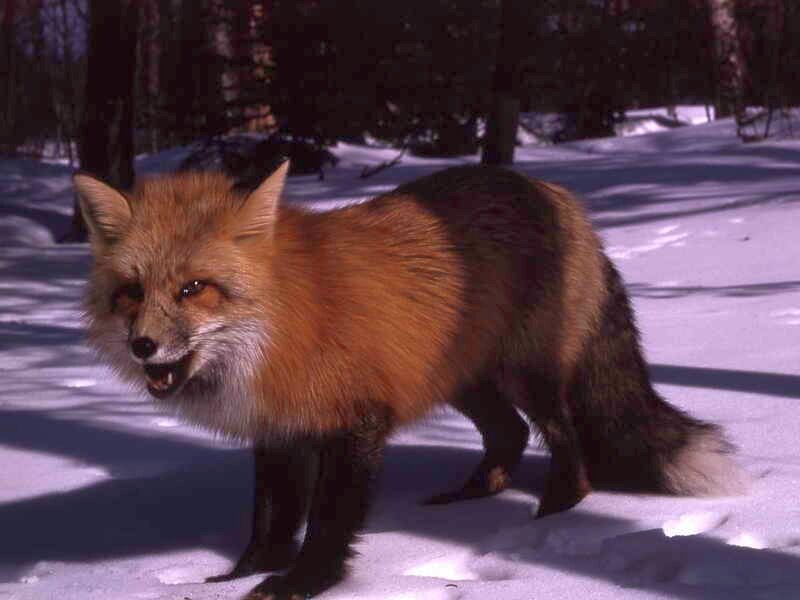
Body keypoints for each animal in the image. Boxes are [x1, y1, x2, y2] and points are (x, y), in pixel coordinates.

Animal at [75, 162, 746, 600]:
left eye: (194, 288)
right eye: (132, 292)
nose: (142, 346)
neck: (283, 321)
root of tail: (551, 191)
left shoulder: (352, 422)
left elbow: (328, 523)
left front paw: (301, 585)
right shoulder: (278, 431)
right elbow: (271, 520)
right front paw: (239, 576)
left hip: (527, 376)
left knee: (565, 442)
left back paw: (551, 514)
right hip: (463, 380)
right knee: (507, 436)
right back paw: (471, 495)